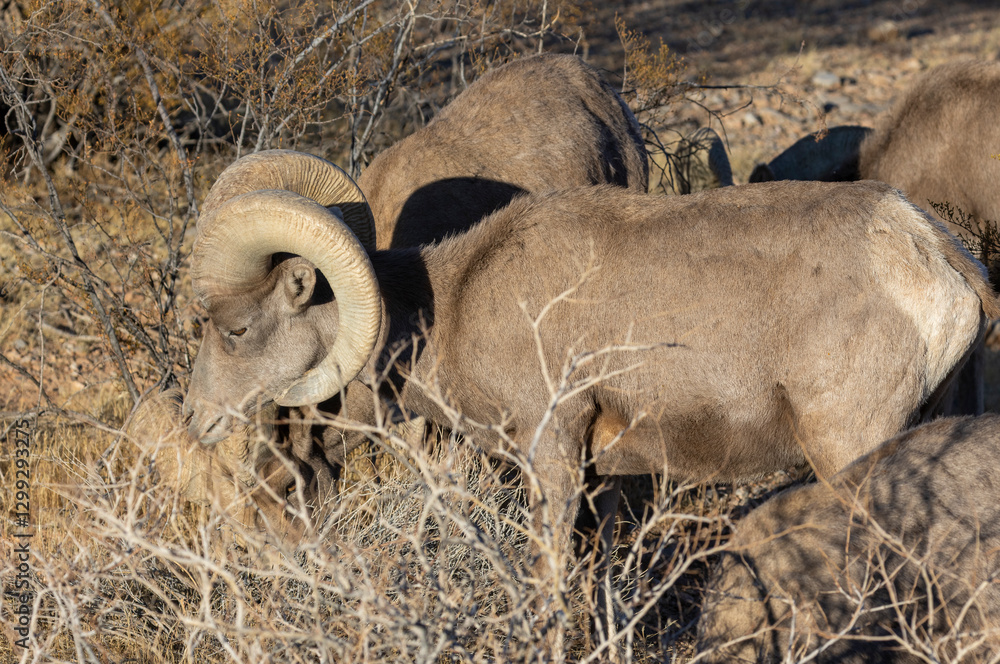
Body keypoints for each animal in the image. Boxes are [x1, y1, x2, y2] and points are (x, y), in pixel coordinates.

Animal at [181, 171, 999, 637]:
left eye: (235, 328)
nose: (198, 423)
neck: (457, 303)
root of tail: (936, 257)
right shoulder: (603, 481)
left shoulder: (553, 456)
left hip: (852, 452)